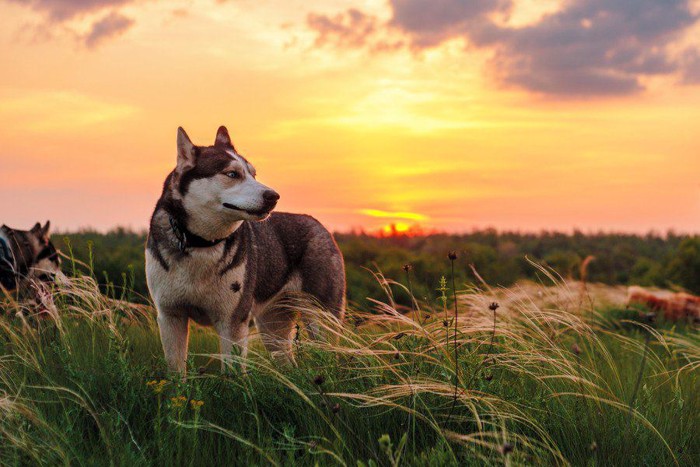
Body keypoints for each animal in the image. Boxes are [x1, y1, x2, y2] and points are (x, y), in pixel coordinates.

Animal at [146, 125, 348, 372]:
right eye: (232, 174)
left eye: (254, 174)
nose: (274, 196)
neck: (200, 243)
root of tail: (321, 226)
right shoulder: (170, 316)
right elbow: (176, 372)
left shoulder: (232, 321)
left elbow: (232, 374)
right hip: (273, 329)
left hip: (320, 319)